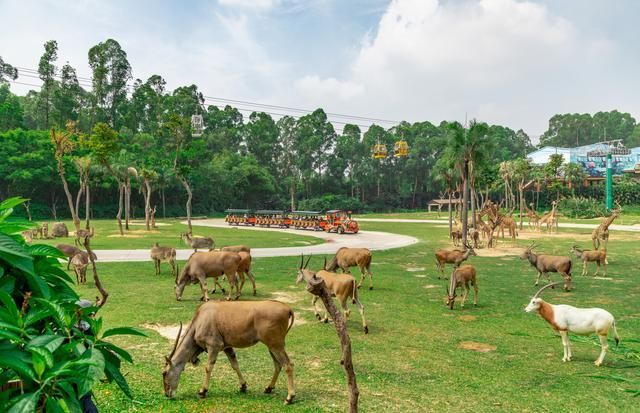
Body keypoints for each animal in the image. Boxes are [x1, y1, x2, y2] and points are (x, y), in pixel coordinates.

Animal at [164, 300, 296, 402]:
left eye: (164, 373)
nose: (167, 394)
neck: (199, 321)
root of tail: (287, 308)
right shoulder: (227, 347)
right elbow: (235, 365)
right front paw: (243, 386)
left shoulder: (214, 346)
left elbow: (208, 367)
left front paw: (203, 391)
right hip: (271, 346)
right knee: (278, 365)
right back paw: (269, 388)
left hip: (275, 345)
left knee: (288, 365)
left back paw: (289, 397)